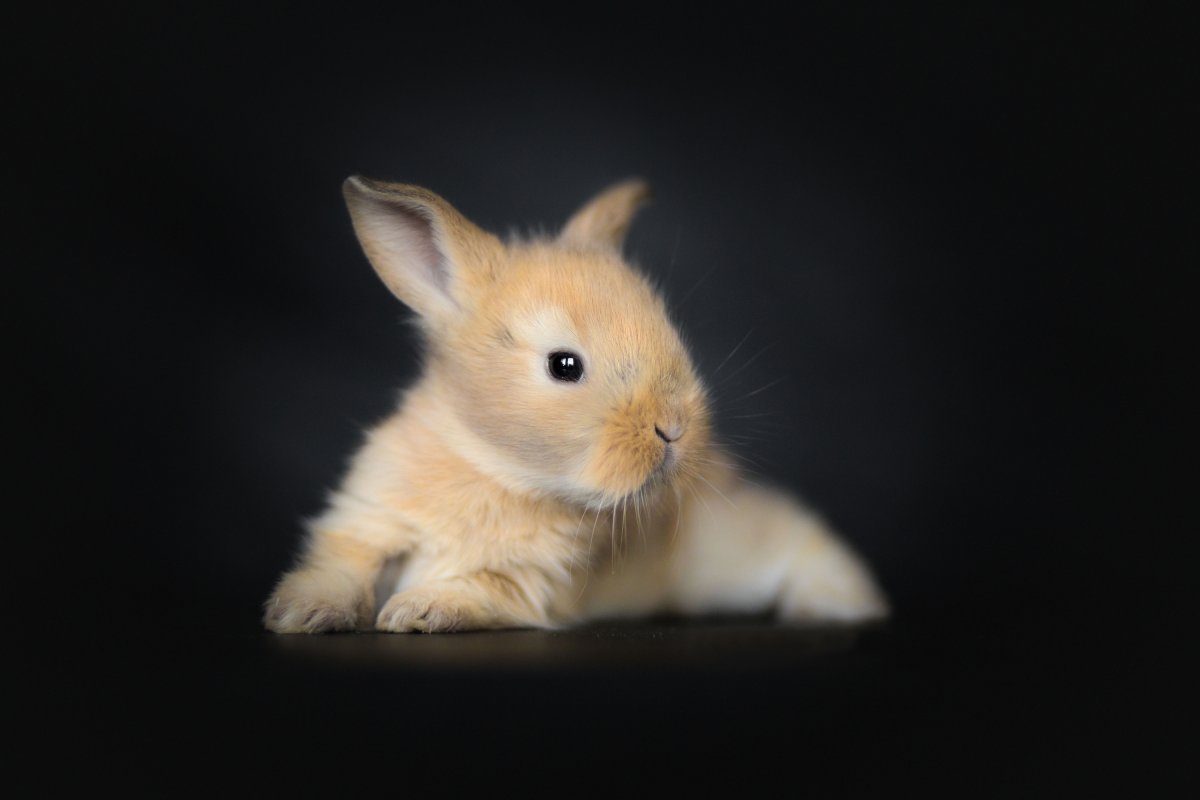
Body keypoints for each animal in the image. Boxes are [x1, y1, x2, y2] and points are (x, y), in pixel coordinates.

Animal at [263, 176, 889, 633]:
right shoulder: (365, 522)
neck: (493, 468)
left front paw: (415, 611)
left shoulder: (530, 583)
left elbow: (476, 589)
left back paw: (839, 603)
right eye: (564, 365)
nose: (674, 428)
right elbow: (342, 568)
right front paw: (300, 613)